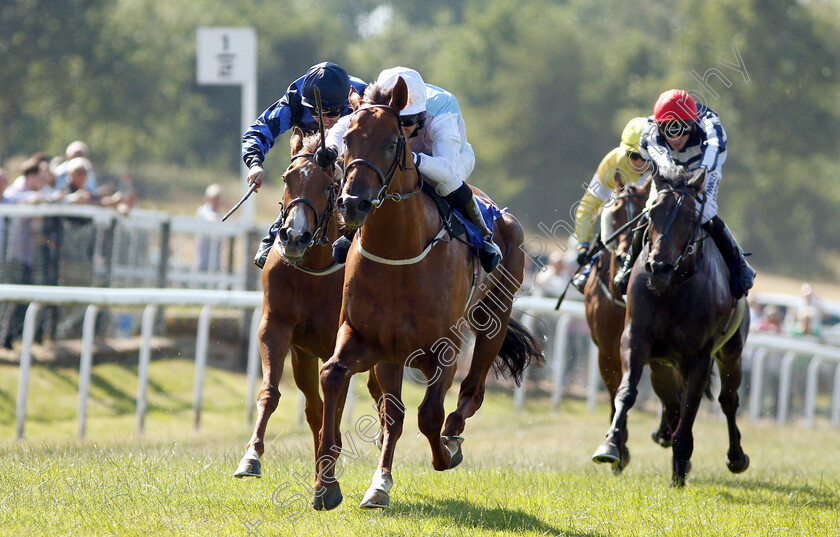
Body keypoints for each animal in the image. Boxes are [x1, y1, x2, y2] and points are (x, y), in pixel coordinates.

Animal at [231, 129, 398, 478]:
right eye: (287, 178)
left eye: (327, 184)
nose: (295, 237)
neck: (314, 269)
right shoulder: (277, 328)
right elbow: (272, 392)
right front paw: (251, 456)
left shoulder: (342, 342)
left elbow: (337, 406)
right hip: (305, 357)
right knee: (314, 406)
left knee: (378, 396)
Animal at [312, 77, 540, 508]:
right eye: (346, 140)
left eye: (390, 142)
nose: (352, 203)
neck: (399, 254)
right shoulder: (367, 338)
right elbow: (336, 377)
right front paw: (328, 484)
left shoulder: (445, 347)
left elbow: (429, 414)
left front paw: (444, 453)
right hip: (393, 354)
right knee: (394, 413)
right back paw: (379, 481)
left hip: (494, 318)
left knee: (472, 391)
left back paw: (454, 435)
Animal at [588, 168, 752, 486]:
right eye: (651, 215)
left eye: (689, 217)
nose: (658, 267)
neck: (673, 288)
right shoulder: (632, 340)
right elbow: (626, 391)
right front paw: (612, 445)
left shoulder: (700, 356)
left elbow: (691, 407)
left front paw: (679, 471)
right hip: (661, 364)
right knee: (672, 401)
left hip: (731, 351)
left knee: (728, 399)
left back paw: (736, 457)